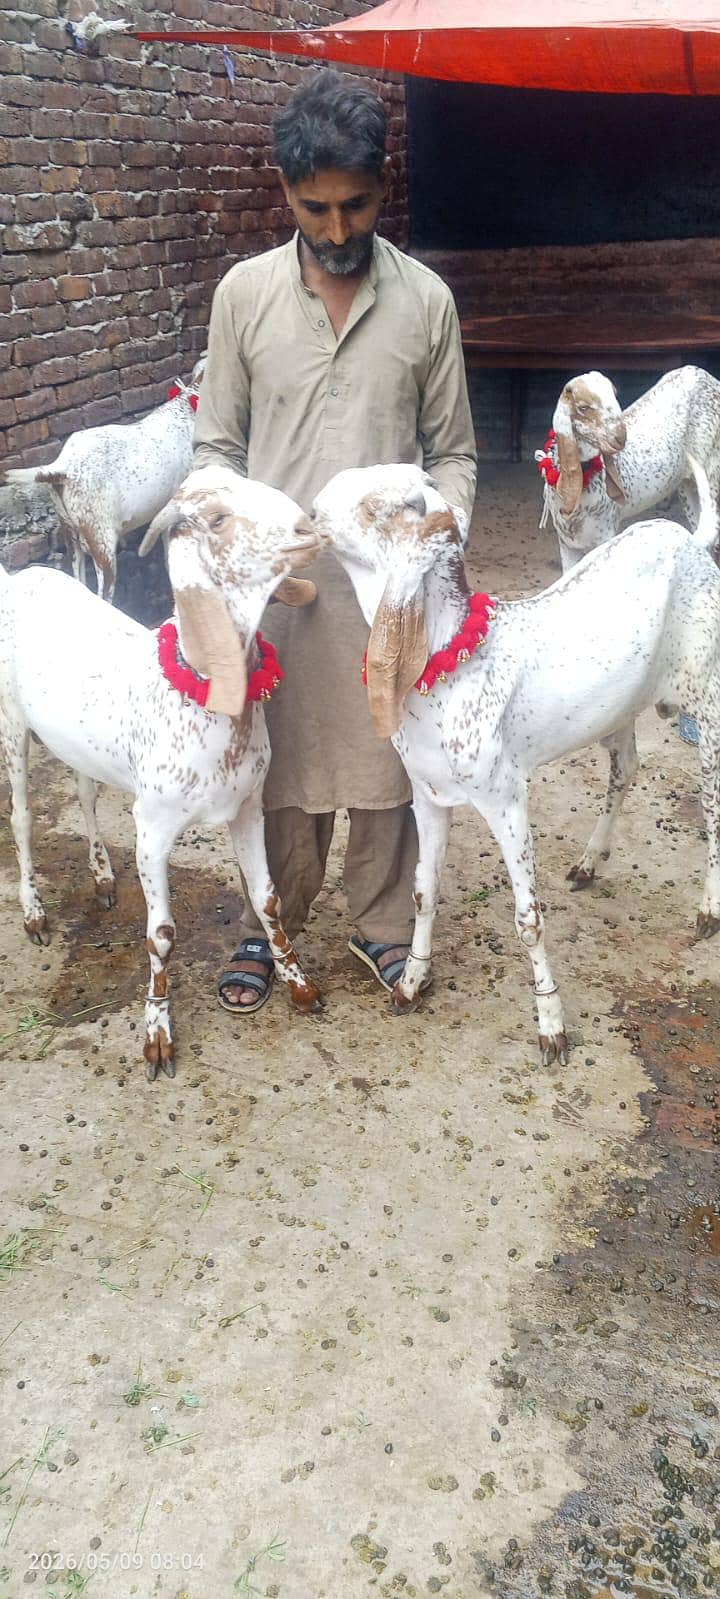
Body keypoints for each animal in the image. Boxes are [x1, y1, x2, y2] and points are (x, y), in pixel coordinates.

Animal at [0, 466, 323, 1080]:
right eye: (217, 518)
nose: (308, 527)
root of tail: (22, 575)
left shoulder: (248, 806)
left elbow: (268, 899)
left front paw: (300, 986)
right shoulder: (152, 828)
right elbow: (162, 935)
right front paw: (157, 1035)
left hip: (79, 744)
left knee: (84, 793)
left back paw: (103, 876)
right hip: (12, 725)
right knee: (22, 816)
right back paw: (34, 913)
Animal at [312, 458, 720, 1064]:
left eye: (375, 507)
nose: (312, 511)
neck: (451, 661)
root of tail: (687, 539)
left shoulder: (506, 798)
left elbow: (529, 918)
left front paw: (551, 1023)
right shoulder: (427, 796)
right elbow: (422, 891)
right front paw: (411, 984)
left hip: (709, 696)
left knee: (712, 804)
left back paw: (708, 909)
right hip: (619, 710)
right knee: (625, 768)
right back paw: (589, 862)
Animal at [538, 366, 720, 572]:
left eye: (614, 395)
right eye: (583, 407)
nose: (620, 437)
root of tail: (703, 375)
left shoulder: (604, 535)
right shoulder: (567, 544)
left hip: (712, 471)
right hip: (688, 485)